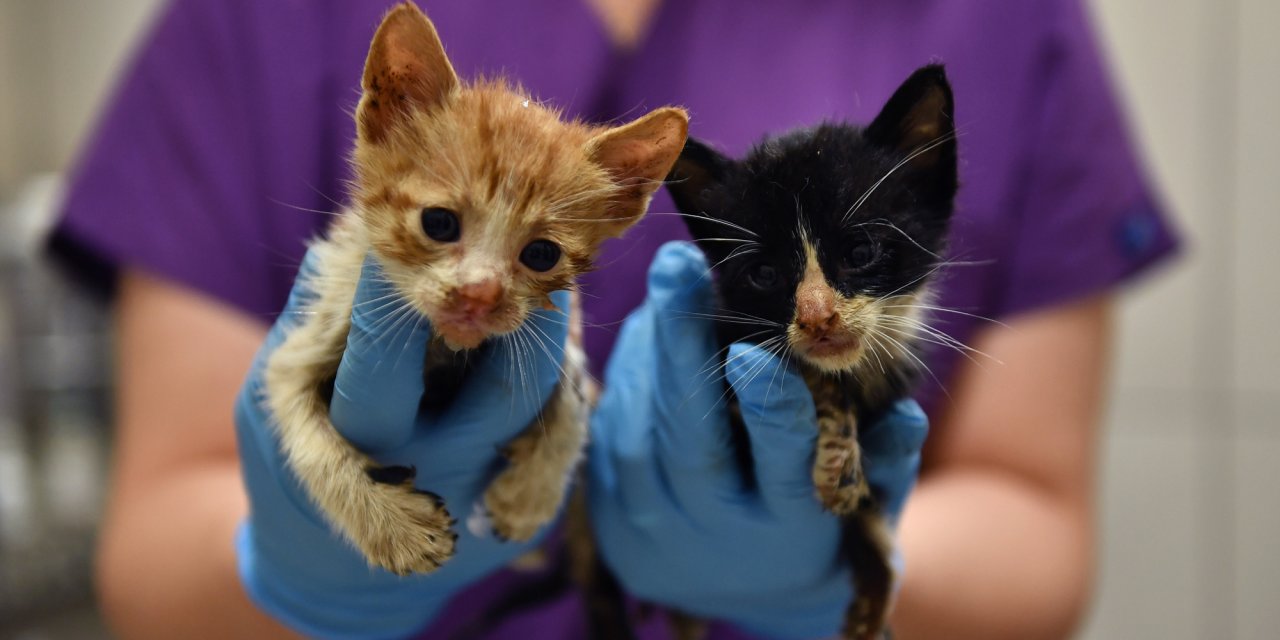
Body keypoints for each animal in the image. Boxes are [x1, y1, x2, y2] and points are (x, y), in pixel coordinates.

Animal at [665, 64, 957, 640]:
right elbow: (796, 373)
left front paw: (872, 600)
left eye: (861, 251)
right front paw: (840, 460)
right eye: (764, 274)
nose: (818, 317)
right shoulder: (727, 354)